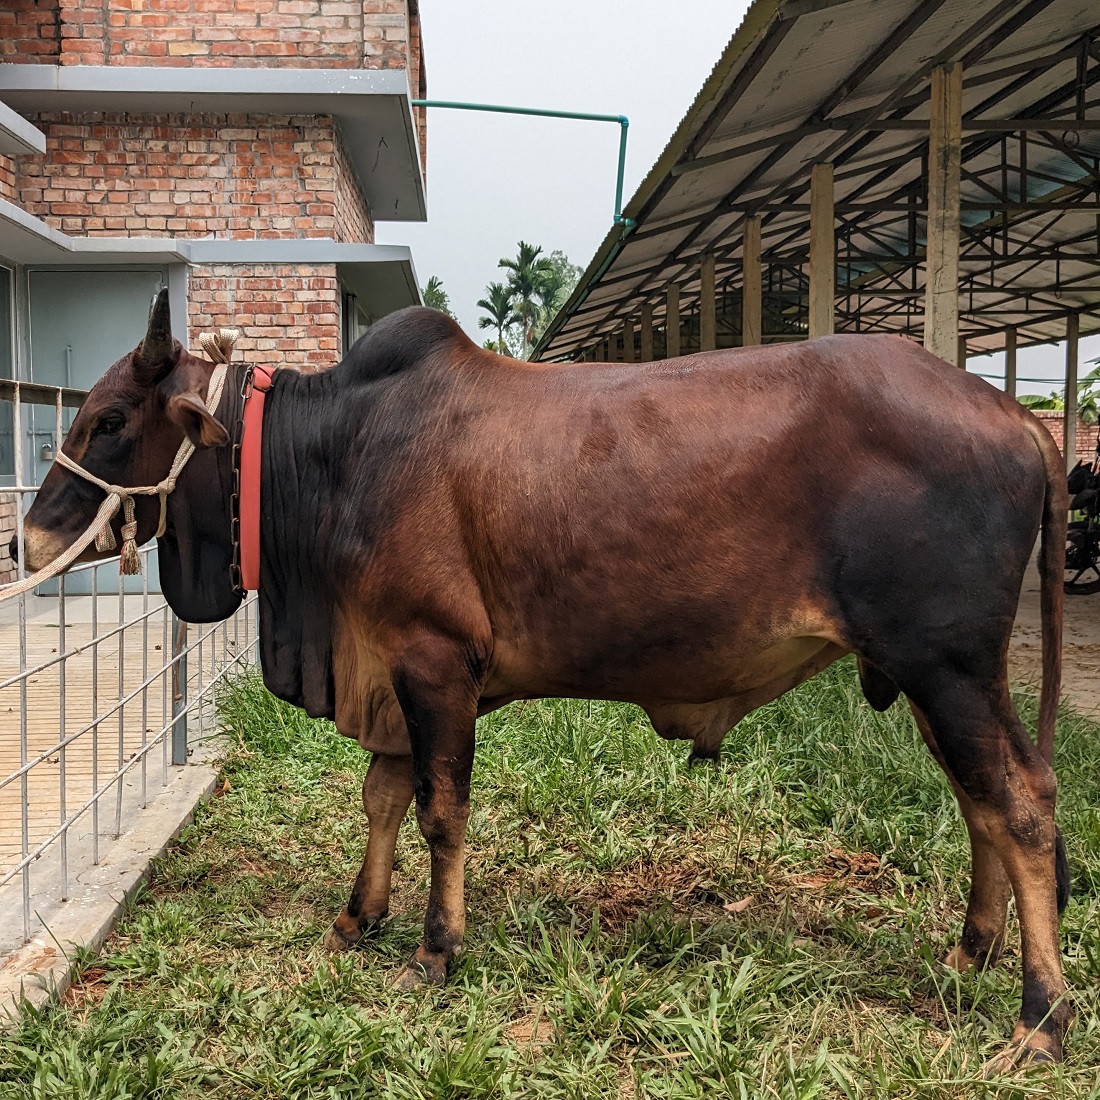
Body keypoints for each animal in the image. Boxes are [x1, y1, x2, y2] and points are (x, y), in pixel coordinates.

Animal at [15, 294, 1064, 1073]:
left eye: (110, 420)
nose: (24, 541)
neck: (334, 457)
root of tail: (1019, 417)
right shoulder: (391, 673)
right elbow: (381, 798)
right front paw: (358, 916)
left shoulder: (433, 663)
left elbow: (440, 811)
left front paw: (434, 952)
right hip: (933, 678)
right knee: (980, 803)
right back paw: (969, 951)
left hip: (948, 666)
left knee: (1020, 807)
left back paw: (1040, 1016)